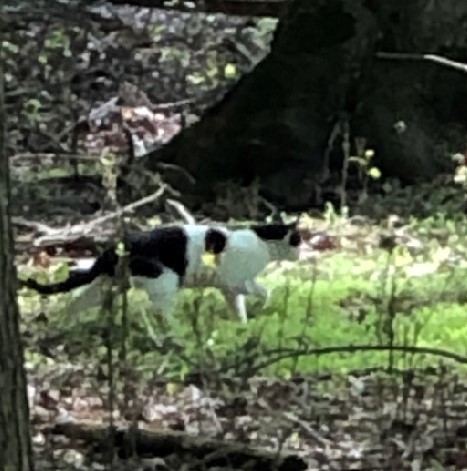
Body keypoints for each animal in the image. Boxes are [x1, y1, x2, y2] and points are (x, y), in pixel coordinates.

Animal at [20, 221, 302, 324]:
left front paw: (242, 327)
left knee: (75, 304)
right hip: (165, 281)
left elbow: (239, 308)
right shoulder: (236, 281)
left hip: (106, 285)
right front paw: (263, 306)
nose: (302, 252)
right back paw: (177, 333)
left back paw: (67, 326)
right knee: (161, 314)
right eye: (298, 240)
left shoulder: (229, 289)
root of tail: (113, 249)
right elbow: (263, 290)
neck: (264, 241)